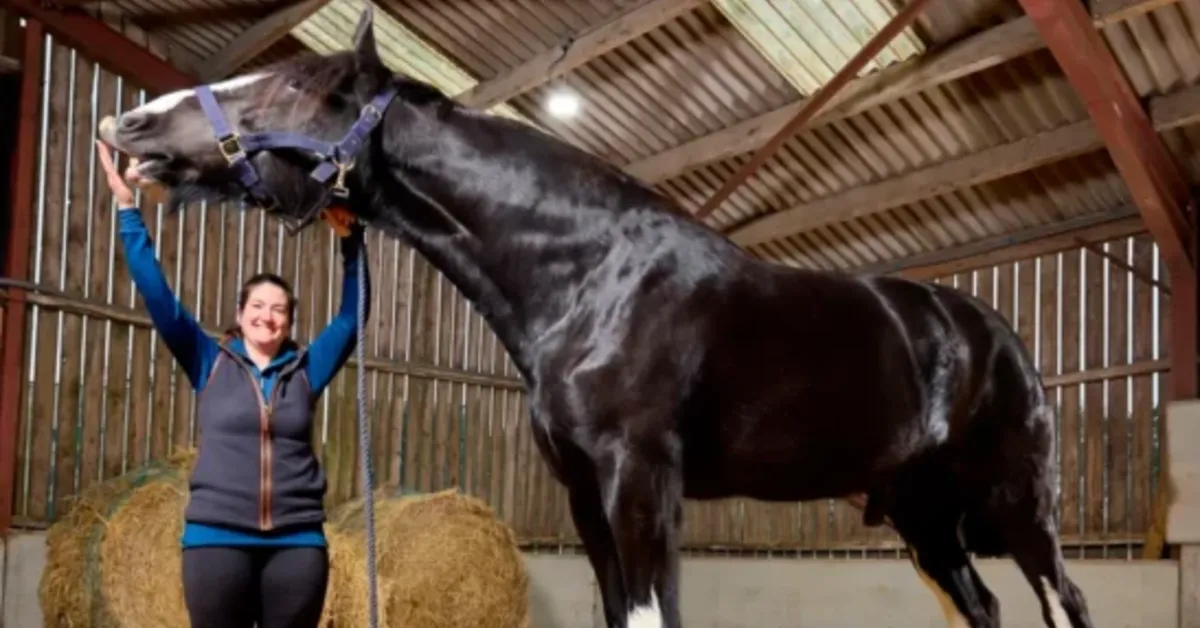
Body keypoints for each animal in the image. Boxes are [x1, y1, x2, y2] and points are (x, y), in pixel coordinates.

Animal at [96, 7, 1093, 628]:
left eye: (295, 89)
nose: (128, 127)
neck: (589, 277)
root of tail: (993, 334)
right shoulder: (583, 493)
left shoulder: (638, 479)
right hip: (926, 518)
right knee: (985, 606)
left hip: (1018, 503)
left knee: (1061, 600)